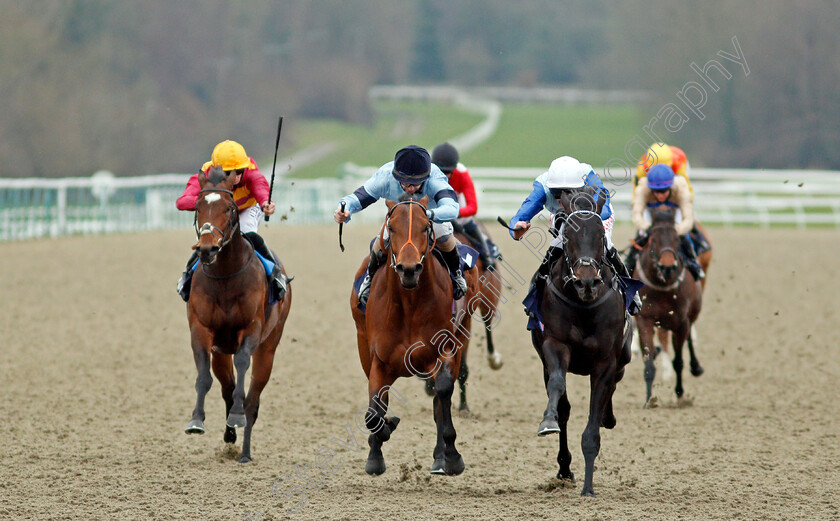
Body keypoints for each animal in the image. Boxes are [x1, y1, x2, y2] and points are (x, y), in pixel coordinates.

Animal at [184, 165, 292, 462]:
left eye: (230, 208)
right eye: (198, 207)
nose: (207, 248)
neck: (225, 276)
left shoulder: (252, 328)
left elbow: (243, 364)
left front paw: (236, 416)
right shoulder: (201, 329)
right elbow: (203, 374)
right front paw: (196, 420)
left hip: (269, 347)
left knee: (253, 398)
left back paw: (244, 450)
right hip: (221, 350)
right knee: (227, 387)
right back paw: (230, 434)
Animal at [350, 194, 480, 476]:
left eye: (425, 226)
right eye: (391, 228)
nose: (408, 269)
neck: (409, 304)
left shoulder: (445, 349)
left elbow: (443, 392)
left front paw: (451, 456)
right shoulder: (378, 359)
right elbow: (374, 411)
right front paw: (376, 452)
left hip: (462, 333)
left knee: (442, 397)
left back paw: (441, 457)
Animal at [532, 189, 632, 498]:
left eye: (600, 235)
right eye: (567, 236)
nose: (586, 283)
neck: (584, 305)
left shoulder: (605, 362)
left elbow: (592, 426)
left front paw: (589, 488)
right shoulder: (554, 346)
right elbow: (557, 388)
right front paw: (547, 421)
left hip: (623, 357)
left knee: (614, 386)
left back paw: (608, 417)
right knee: (564, 407)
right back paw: (564, 467)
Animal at [636, 205, 704, 404]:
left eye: (676, 239)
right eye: (654, 240)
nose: (667, 267)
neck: (662, 286)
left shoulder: (681, 322)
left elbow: (679, 362)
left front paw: (680, 393)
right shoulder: (644, 319)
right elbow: (649, 362)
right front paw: (649, 399)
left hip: (690, 316)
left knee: (689, 341)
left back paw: (696, 367)